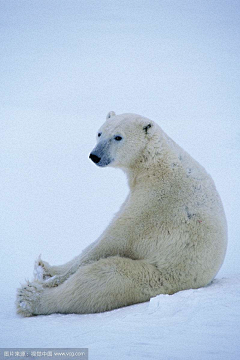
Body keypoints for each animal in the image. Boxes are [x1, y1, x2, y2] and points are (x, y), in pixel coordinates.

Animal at [16, 112, 227, 316]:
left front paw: (51, 281)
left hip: (157, 276)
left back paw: (30, 298)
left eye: (118, 137)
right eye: (99, 133)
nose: (94, 156)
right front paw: (48, 272)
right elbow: (99, 238)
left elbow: (115, 239)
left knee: (100, 280)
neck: (156, 163)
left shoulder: (155, 202)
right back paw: (43, 267)